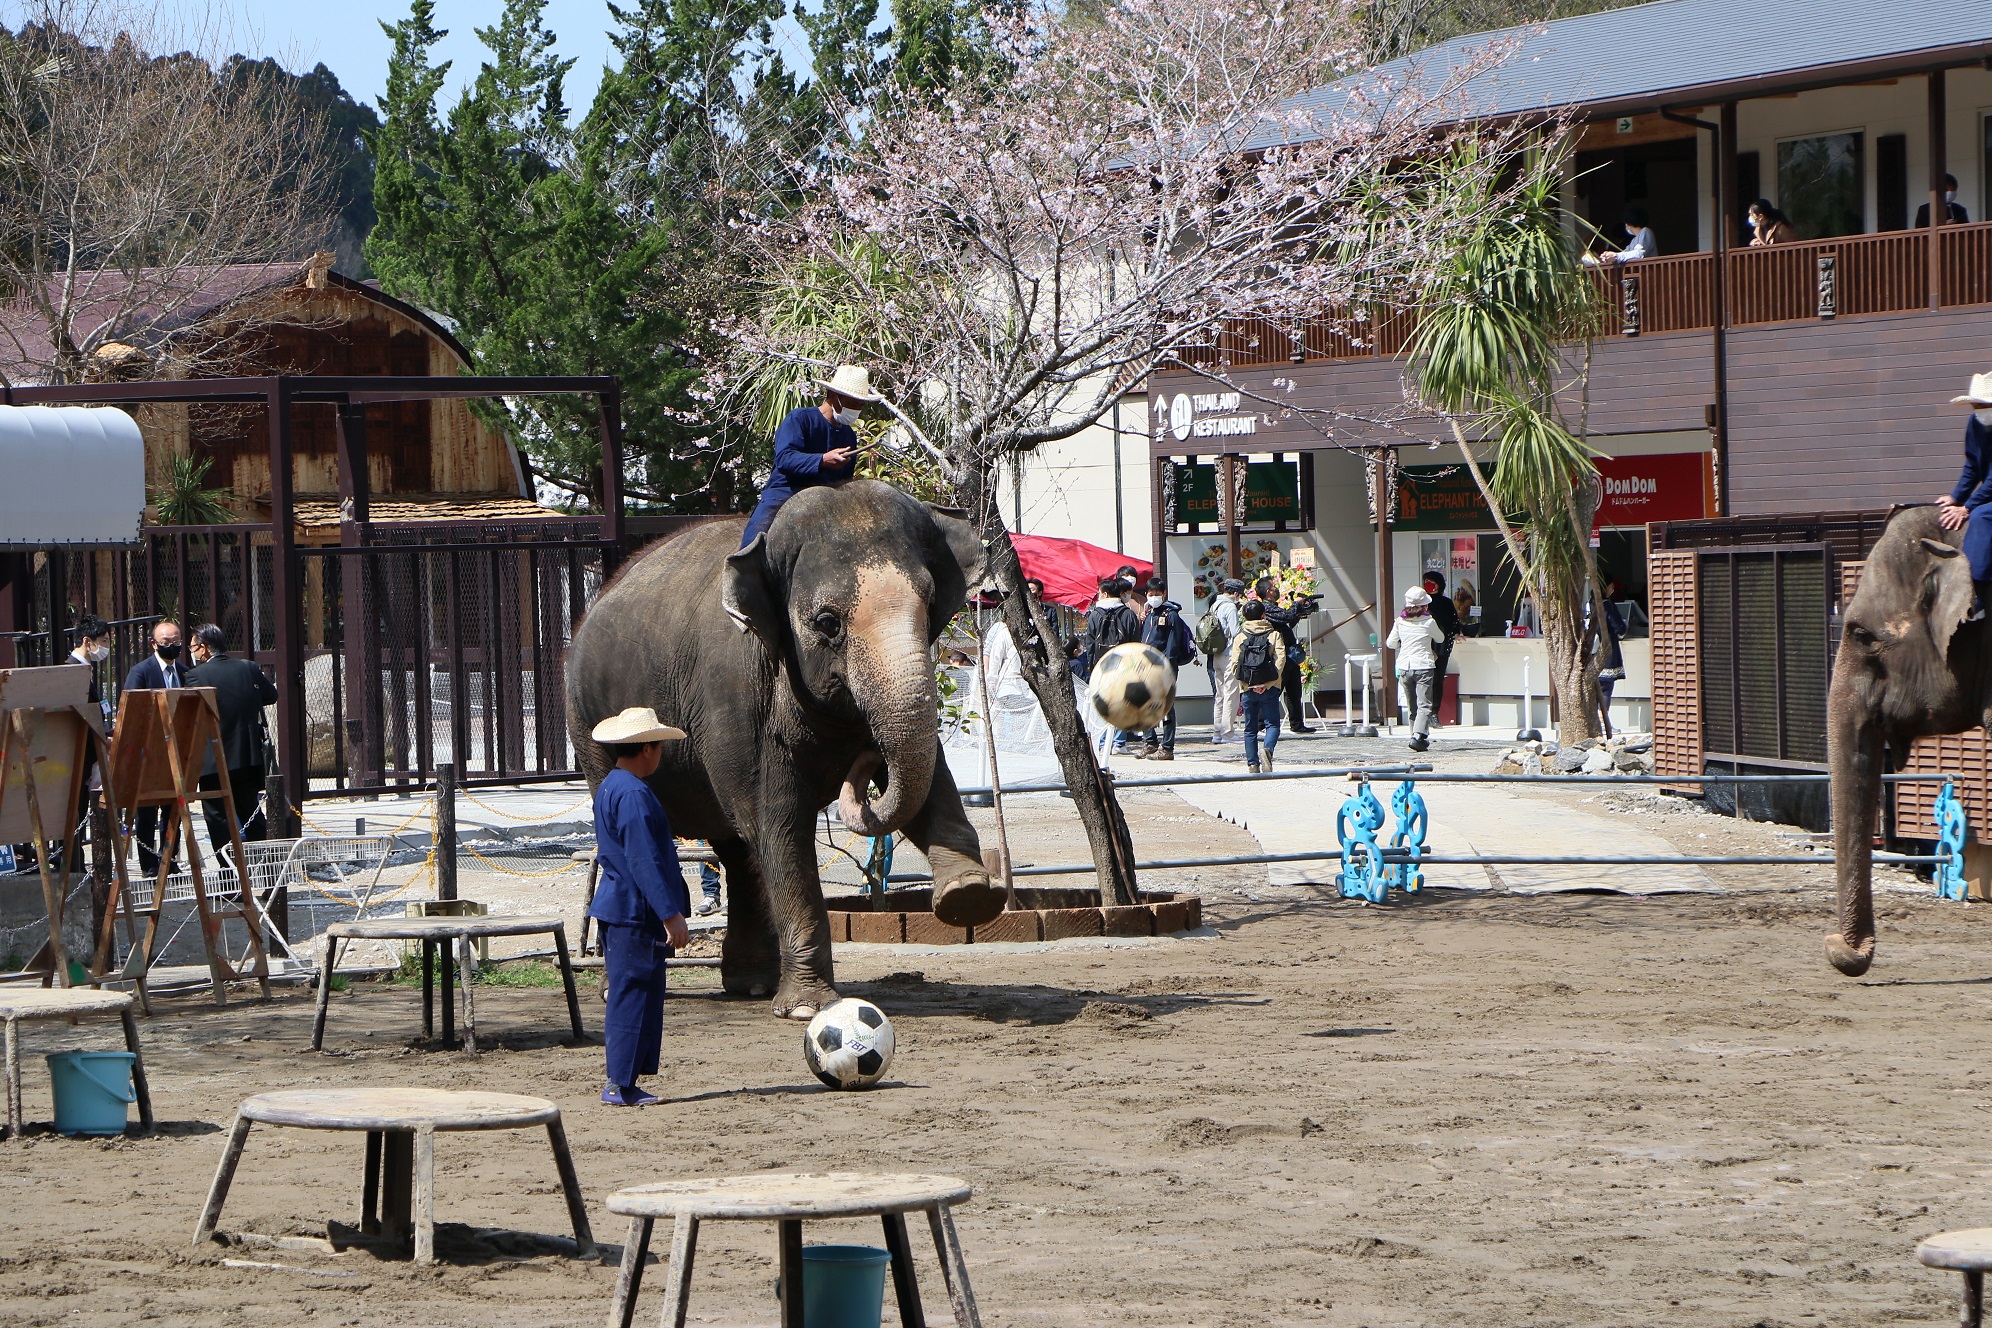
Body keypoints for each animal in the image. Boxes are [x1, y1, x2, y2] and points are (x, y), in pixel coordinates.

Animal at [565, 479, 1003, 1019]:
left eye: (930, 605)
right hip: (587, 726)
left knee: (736, 850)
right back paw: (619, 990)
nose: (864, 760)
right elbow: (778, 822)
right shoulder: (734, 695)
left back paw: (751, 985)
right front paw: (807, 1009)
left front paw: (968, 896)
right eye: (827, 622)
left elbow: (929, 774)